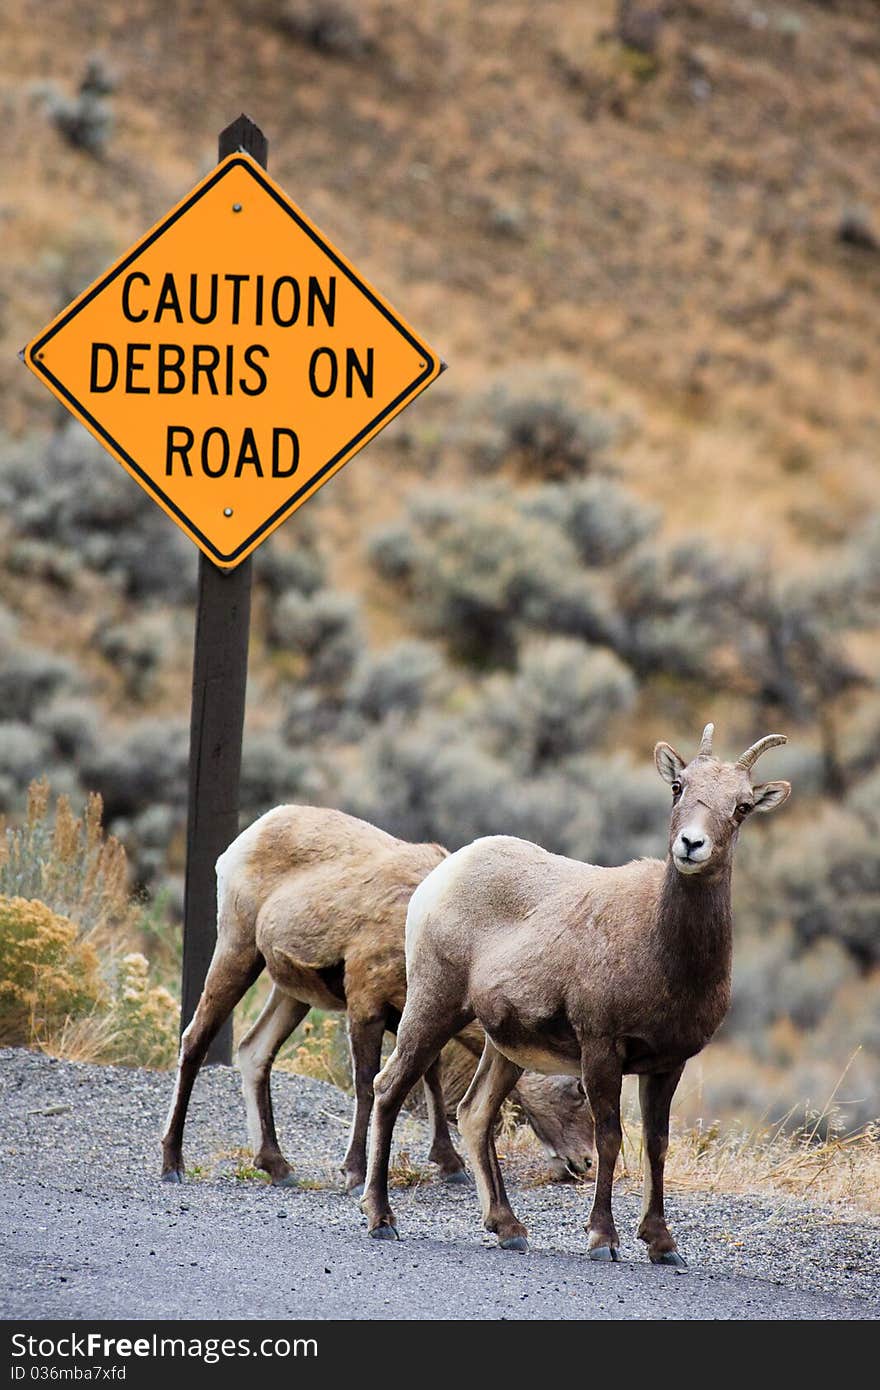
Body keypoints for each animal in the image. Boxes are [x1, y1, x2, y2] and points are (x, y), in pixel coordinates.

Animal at [161, 806, 595, 1195]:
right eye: (576, 1089)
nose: (584, 1163)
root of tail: (253, 832)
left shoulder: (413, 1014)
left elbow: (429, 1079)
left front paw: (450, 1165)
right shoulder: (365, 1004)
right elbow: (368, 1086)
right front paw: (354, 1174)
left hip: (292, 992)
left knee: (255, 1051)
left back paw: (277, 1166)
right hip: (238, 950)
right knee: (196, 1039)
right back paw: (173, 1164)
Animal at [361, 733, 789, 1267]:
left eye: (743, 806)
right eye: (678, 786)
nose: (692, 845)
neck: (662, 950)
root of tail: (445, 872)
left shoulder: (668, 1064)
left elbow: (657, 1144)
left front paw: (663, 1245)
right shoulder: (601, 1049)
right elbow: (610, 1139)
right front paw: (603, 1239)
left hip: (504, 1048)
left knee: (475, 1113)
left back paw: (509, 1228)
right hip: (433, 1007)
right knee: (389, 1088)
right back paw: (381, 1219)